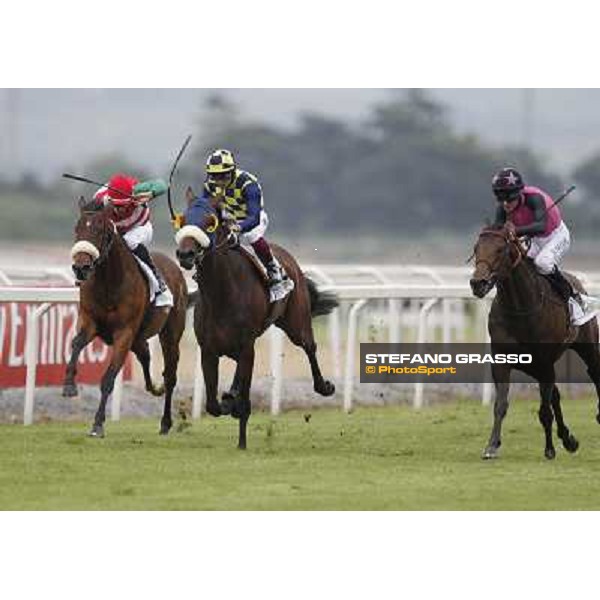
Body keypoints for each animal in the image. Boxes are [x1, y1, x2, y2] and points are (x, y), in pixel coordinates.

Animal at [62, 202, 192, 436]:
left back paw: (166, 421)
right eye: (77, 229)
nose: (81, 268)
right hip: (139, 338)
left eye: (99, 230)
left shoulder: (124, 333)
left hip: (170, 334)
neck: (109, 282)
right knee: (146, 356)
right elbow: (76, 343)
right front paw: (69, 384)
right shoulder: (90, 322)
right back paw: (154, 388)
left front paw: (98, 424)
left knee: (170, 375)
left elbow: (108, 378)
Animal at [175, 199, 338, 448]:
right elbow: (212, 405)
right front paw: (227, 401)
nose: (185, 253)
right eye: (183, 220)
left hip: (296, 324)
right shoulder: (208, 350)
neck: (222, 293)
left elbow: (243, 401)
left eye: (209, 223)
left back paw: (324, 386)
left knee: (310, 347)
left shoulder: (247, 348)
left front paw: (242, 442)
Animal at [472, 225, 600, 460]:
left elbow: (545, 410)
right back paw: (568, 439)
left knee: (594, 373)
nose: (478, 283)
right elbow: (501, 404)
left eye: (500, 250)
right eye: (476, 249)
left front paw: (549, 449)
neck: (519, 308)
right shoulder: (503, 361)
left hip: (586, 346)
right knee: (555, 395)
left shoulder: (544, 362)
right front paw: (492, 445)